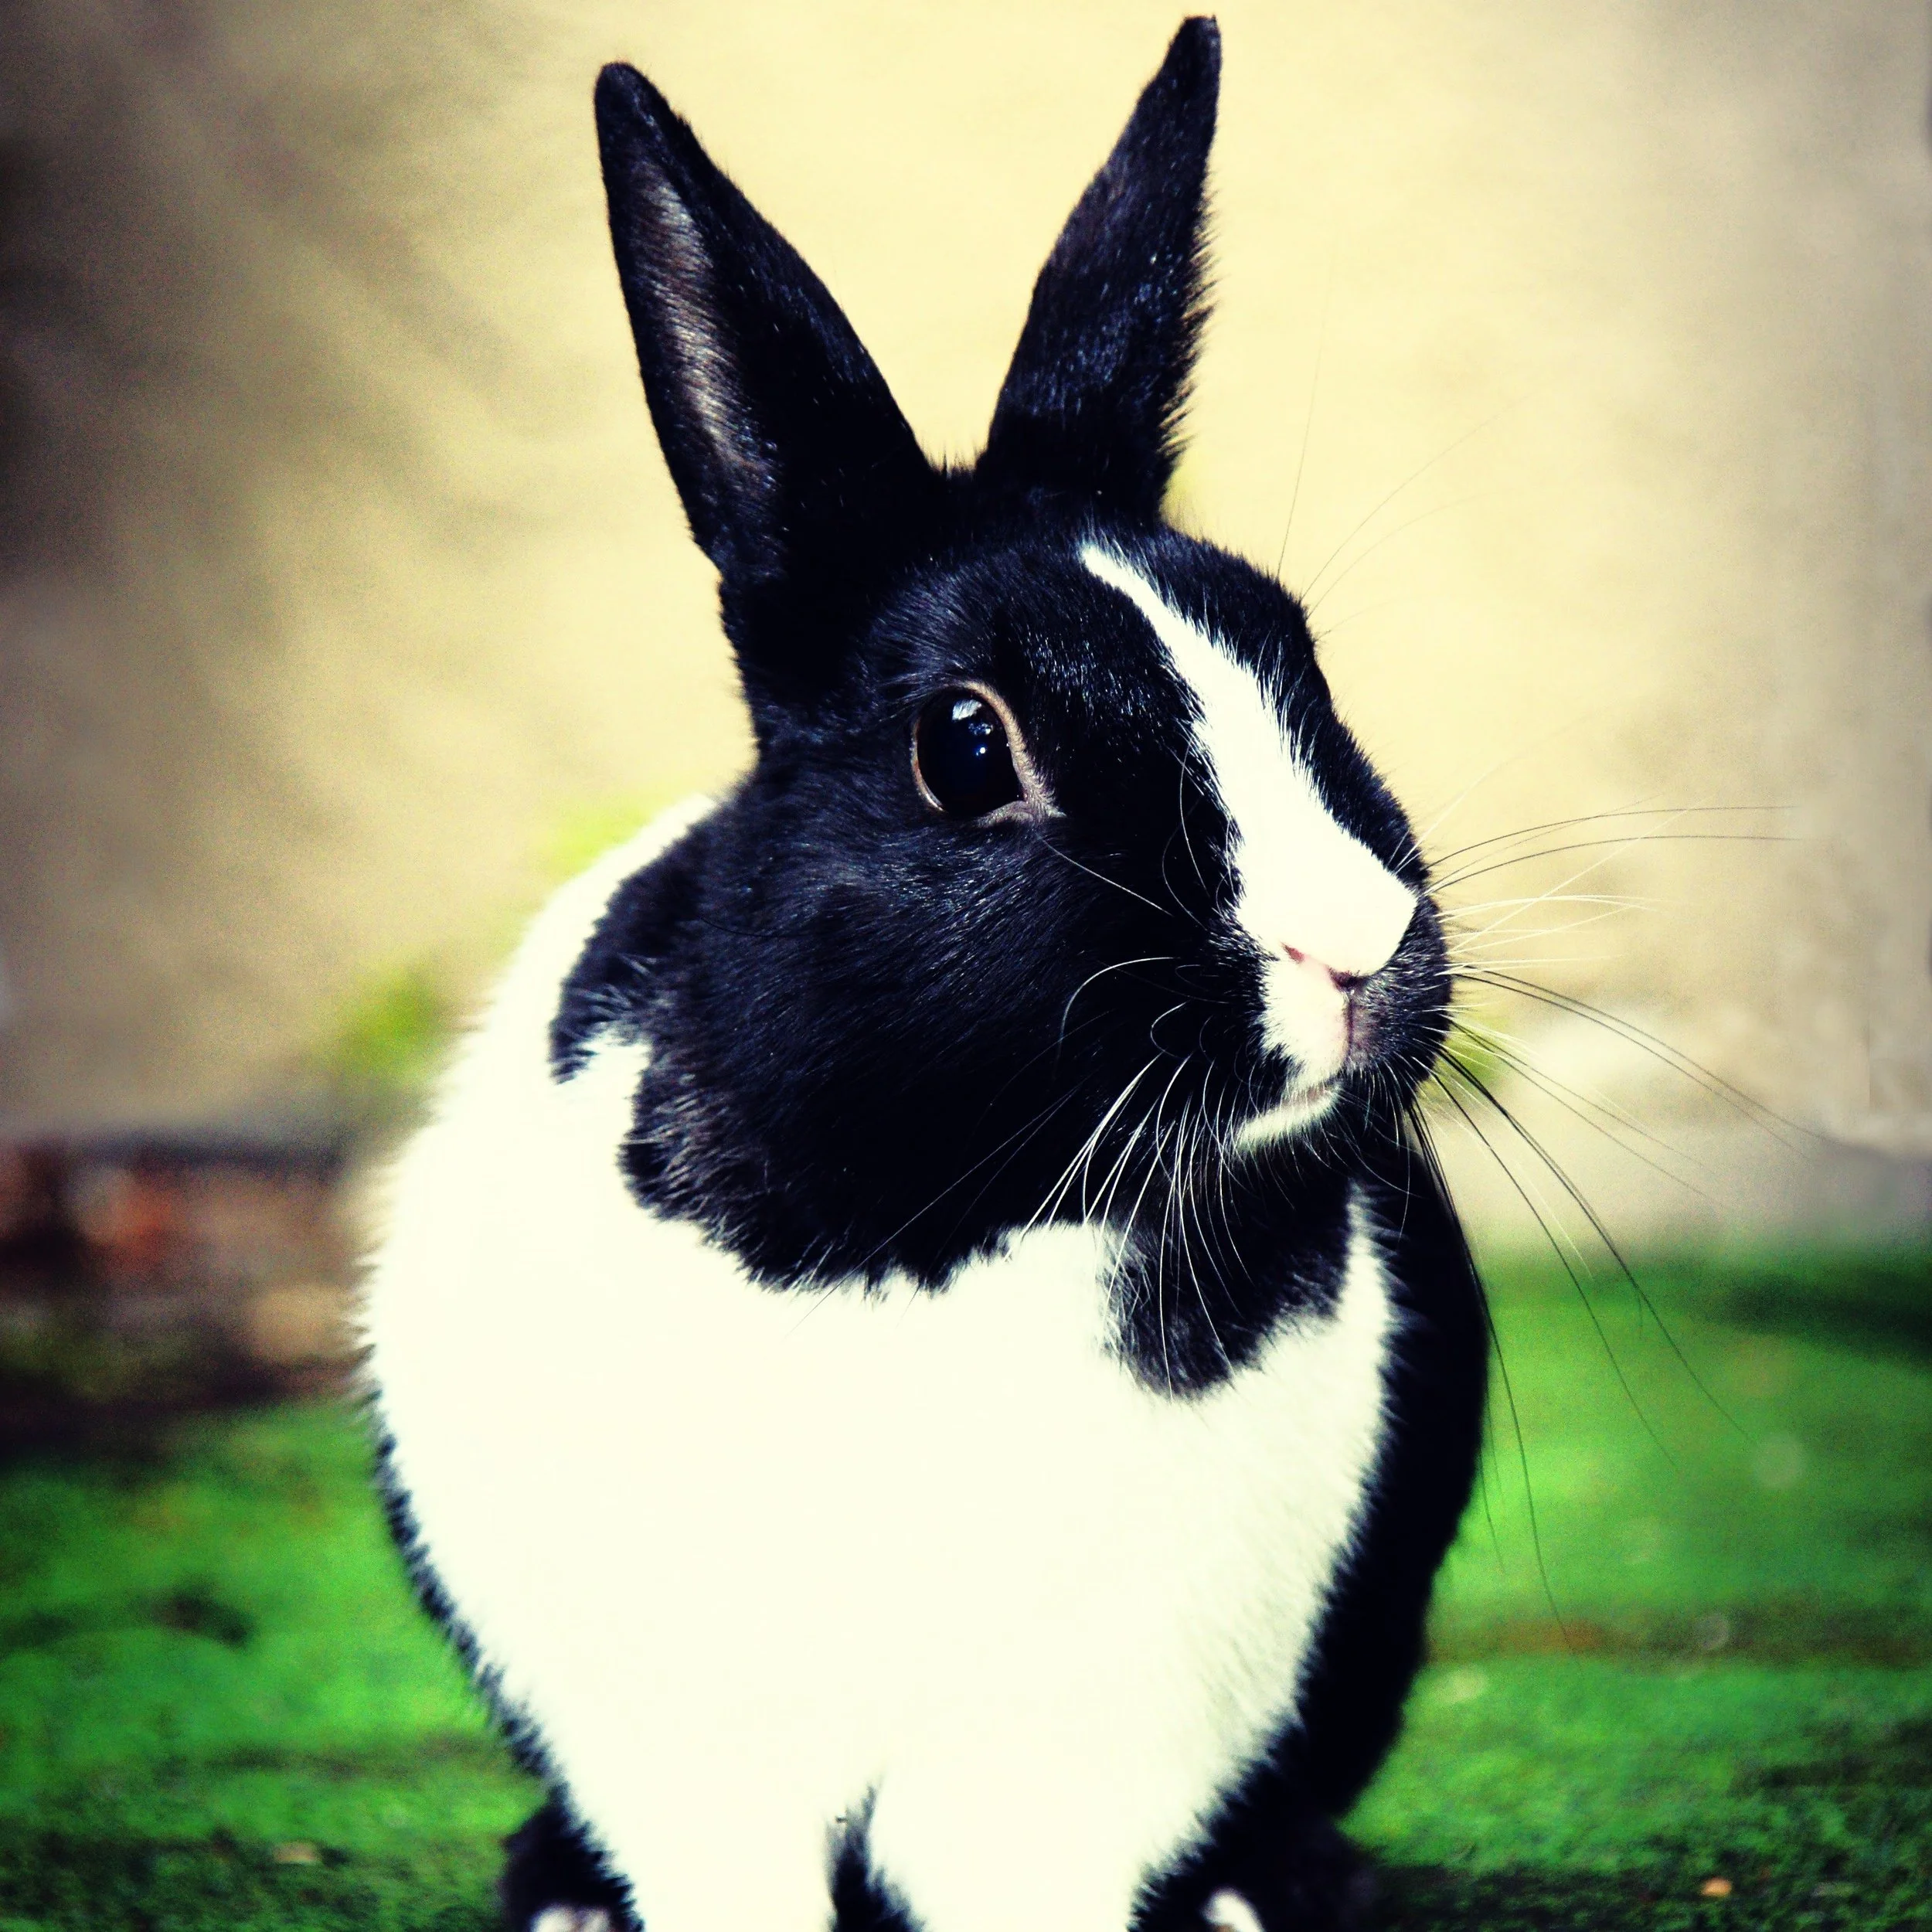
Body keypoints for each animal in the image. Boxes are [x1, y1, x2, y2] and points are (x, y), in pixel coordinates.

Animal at [360, 17, 1489, 1932]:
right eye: (966, 745)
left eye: (1297, 655)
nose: (1352, 945)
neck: (951, 1214)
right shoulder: (687, 1741)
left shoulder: (1078, 1750)